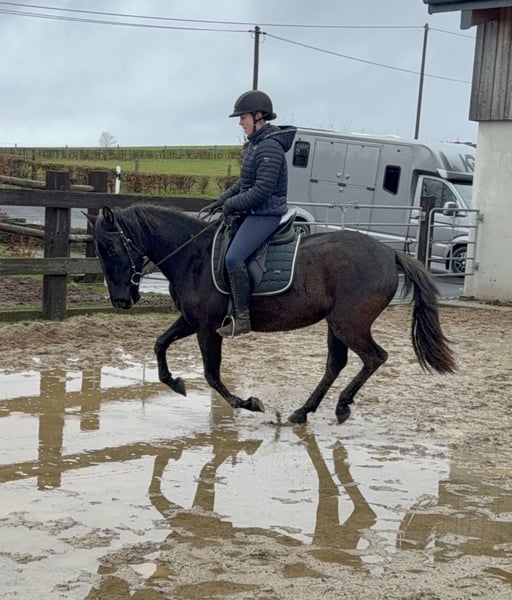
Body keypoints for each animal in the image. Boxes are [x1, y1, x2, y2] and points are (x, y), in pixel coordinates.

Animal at [91, 203, 456, 424]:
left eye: (109, 248)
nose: (120, 301)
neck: (193, 256)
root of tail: (389, 253)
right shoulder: (192, 321)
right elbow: (160, 344)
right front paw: (176, 383)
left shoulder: (208, 328)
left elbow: (211, 375)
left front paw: (248, 403)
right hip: (336, 324)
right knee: (336, 364)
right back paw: (303, 411)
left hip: (349, 323)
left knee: (374, 357)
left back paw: (341, 405)